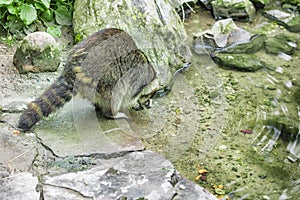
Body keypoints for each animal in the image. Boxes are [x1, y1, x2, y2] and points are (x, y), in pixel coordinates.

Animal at [18, 28, 159, 131]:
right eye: (150, 94)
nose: (149, 105)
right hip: (106, 76)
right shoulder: (137, 76)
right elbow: (128, 94)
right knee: (116, 92)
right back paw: (112, 113)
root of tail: (73, 66)